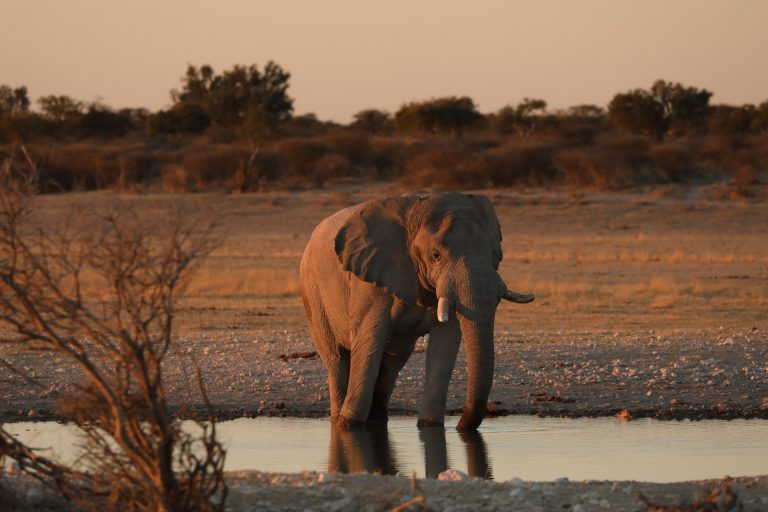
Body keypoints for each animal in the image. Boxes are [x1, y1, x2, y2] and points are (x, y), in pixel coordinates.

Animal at [299, 190, 533, 430]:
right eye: (436, 255)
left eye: (497, 254)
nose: (460, 425)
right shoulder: (369, 282)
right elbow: (369, 340)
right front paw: (350, 425)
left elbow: (445, 344)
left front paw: (430, 426)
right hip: (312, 291)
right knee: (336, 359)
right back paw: (339, 420)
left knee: (392, 361)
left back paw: (376, 419)